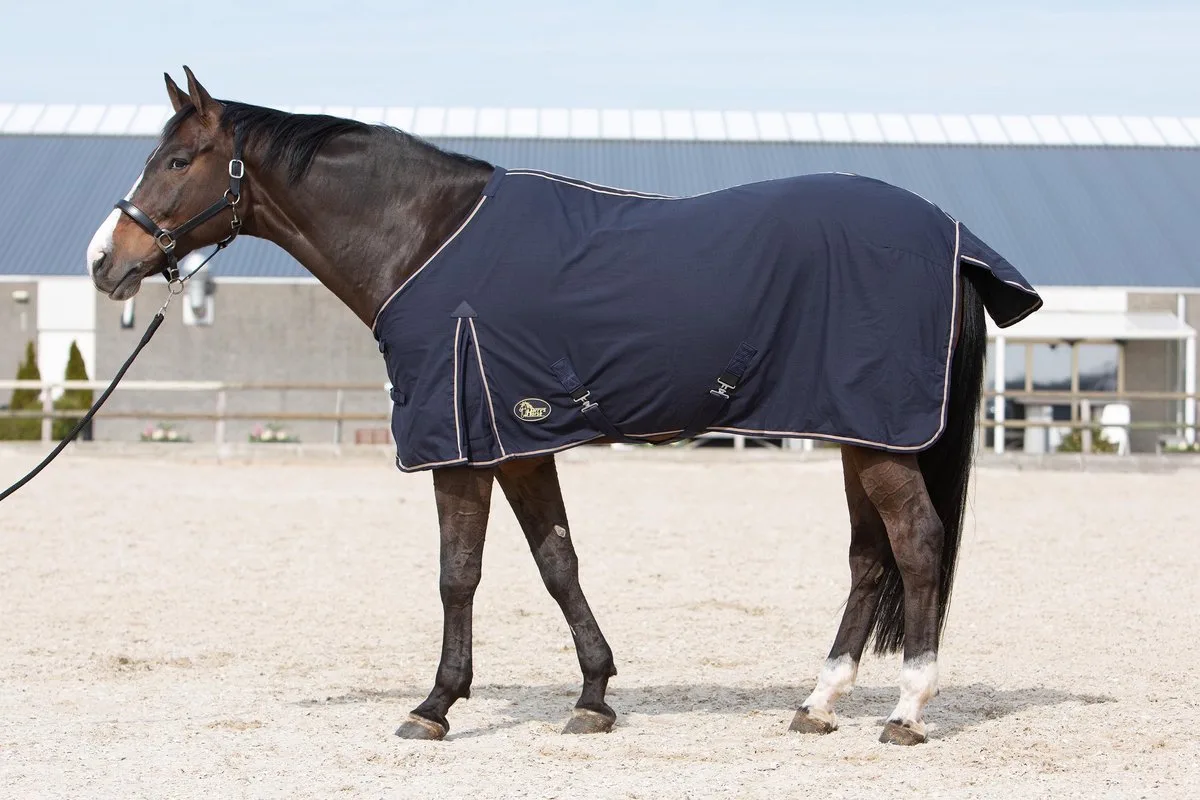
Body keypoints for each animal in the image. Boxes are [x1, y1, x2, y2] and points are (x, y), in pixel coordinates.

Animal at [85, 66, 1042, 746]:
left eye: (176, 161)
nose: (105, 261)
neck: (425, 238)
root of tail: (951, 238)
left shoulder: (459, 445)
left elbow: (458, 574)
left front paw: (434, 705)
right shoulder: (518, 440)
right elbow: (558, 562)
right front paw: (592, 696)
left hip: (879, 436)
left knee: (915, 545)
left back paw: (906, 711)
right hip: (852, 429)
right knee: (868, 559)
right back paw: (819, 702)